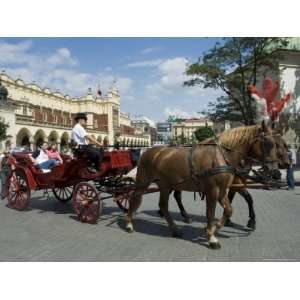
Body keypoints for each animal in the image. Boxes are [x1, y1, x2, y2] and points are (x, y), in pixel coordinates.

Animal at [125, 122, 278, 248]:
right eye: (268, 143)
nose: (275, 171)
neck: (221, 155)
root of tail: (149, 151)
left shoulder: (222, 191)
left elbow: (228, 210)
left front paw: (212, 229)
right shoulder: (212, 190)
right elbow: (210, 213)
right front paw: (212, 238)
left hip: (165, 185)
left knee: (163, 205)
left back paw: (174, 228)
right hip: (143, 182)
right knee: (134, 197)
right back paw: (129, 223)